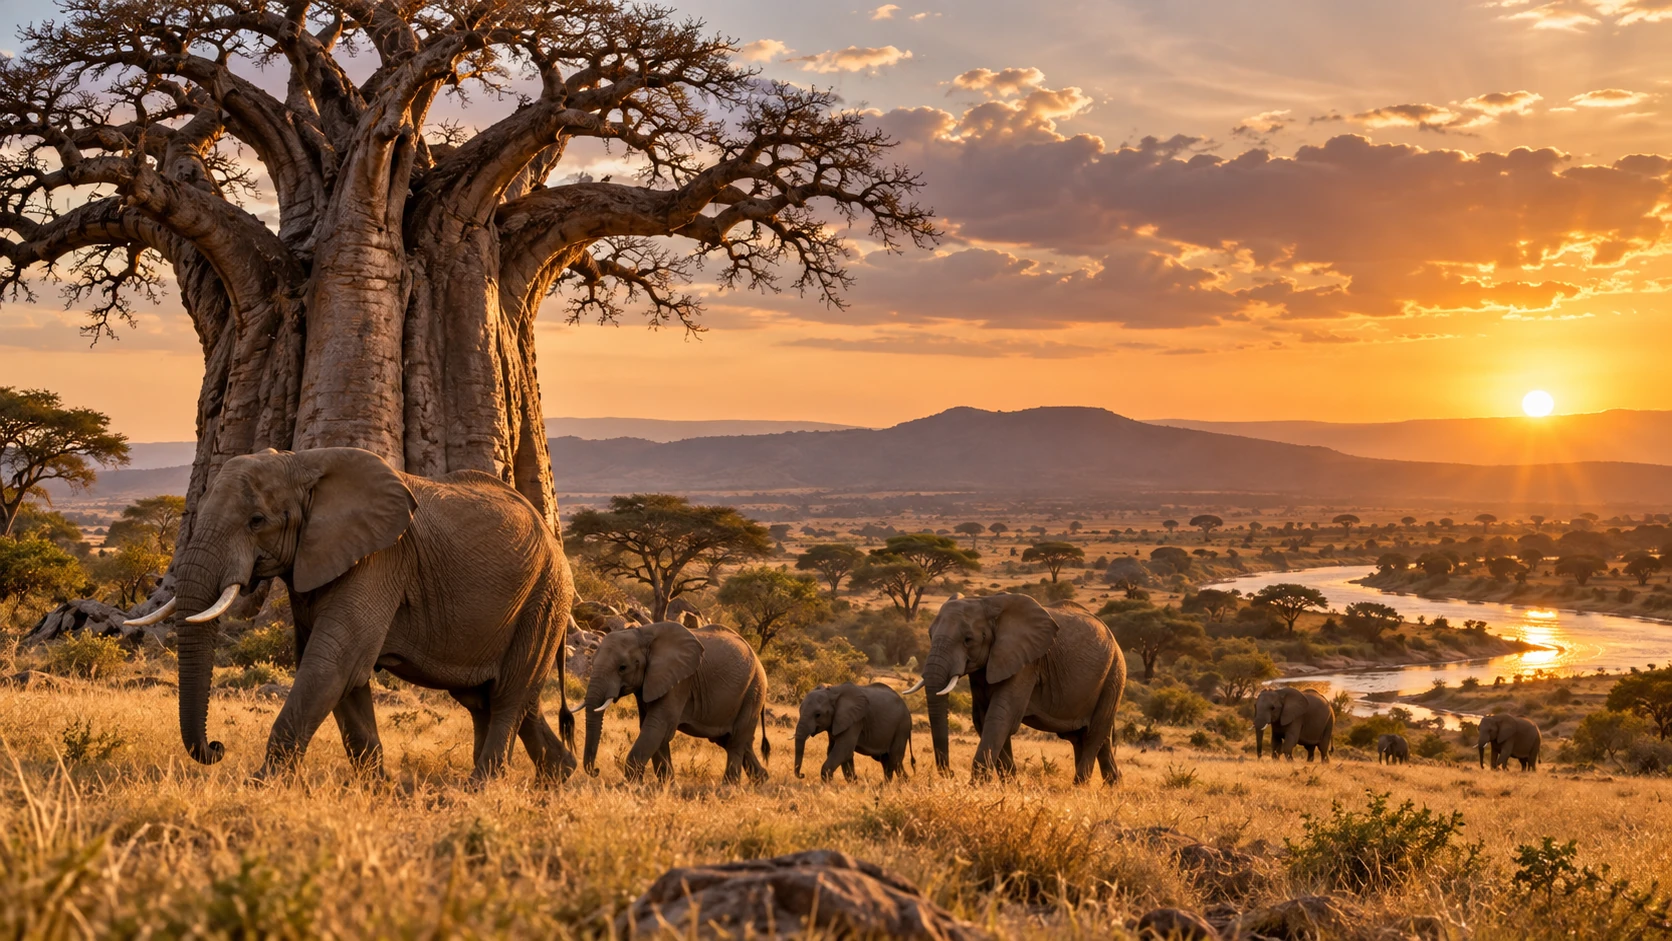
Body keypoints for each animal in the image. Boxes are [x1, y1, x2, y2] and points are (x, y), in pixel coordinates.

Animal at [124, 447, 576, 783]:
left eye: (257, 521)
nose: (217, 748)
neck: (304, 463)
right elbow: (339, 672)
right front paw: (376, 788)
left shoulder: (379, 559)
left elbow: (334, 664)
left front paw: (262, 785)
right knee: (493, 699)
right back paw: (557, 777)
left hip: (545, 599)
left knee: (508, 696)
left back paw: (480, 787)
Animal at [580, 621, 770, 783]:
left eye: (622, 668)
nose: (595, 771)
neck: (643, 633)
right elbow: (652, 728)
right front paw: (666, 785)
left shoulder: (679, 681)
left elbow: (657, 726)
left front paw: (633, 786)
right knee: (733, 741)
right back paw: (761, 780)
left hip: (753, 691)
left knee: (735, 741)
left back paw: (729, 787)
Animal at [906, 593, 1126, 784]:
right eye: (930, 635)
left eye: (968, 639)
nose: (949, 774)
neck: (986, 602)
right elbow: (983, 719)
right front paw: (1011, 786)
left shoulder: (1026, 663)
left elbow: (1000, 717)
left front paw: (976, 787)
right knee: (1088, 738)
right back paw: (1112, 787)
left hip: (1114, 676)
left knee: (1094, 734)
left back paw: (1079, 788)